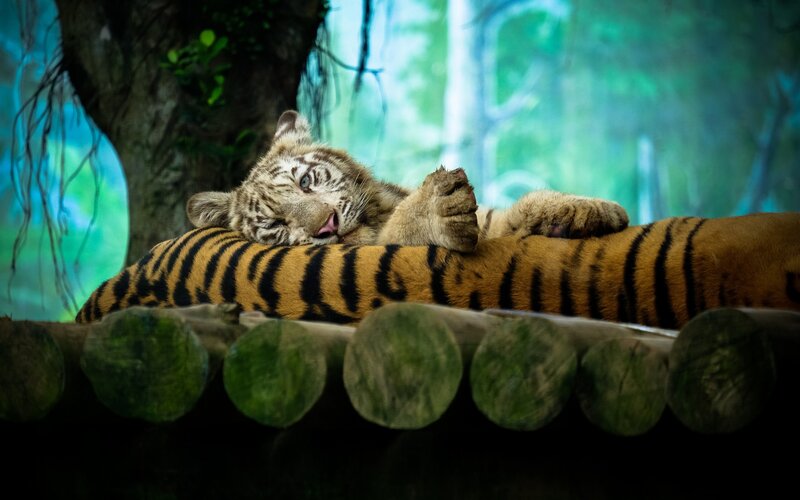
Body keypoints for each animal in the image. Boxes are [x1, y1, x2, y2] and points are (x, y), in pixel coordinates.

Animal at [186, 110, 629, 252]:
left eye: (307, 182)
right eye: (276, 225)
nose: (327, 226)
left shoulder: (492, 221)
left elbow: (514, 208)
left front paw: (590, 209)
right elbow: (405, 226)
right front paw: (433, 211)